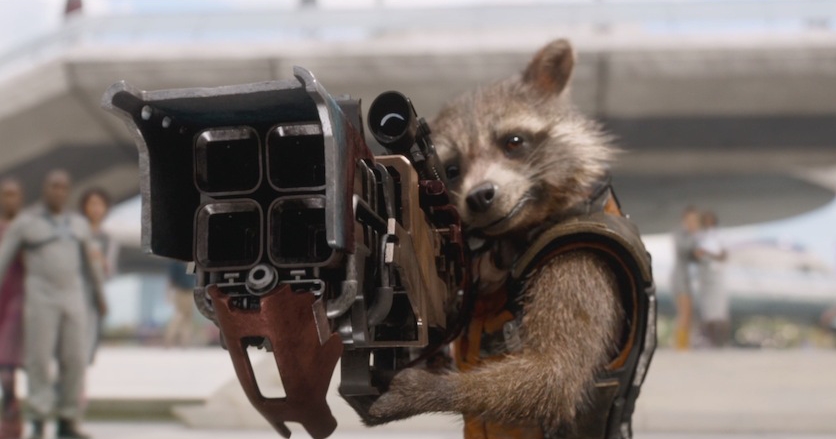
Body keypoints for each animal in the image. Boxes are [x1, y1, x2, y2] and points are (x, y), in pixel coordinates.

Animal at [368, 39, 626, 434]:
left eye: (513, 142)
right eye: (452, 170)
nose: (479, 196)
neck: (519, 231)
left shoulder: (580, 261)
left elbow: (555, 375)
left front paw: (425, 388)